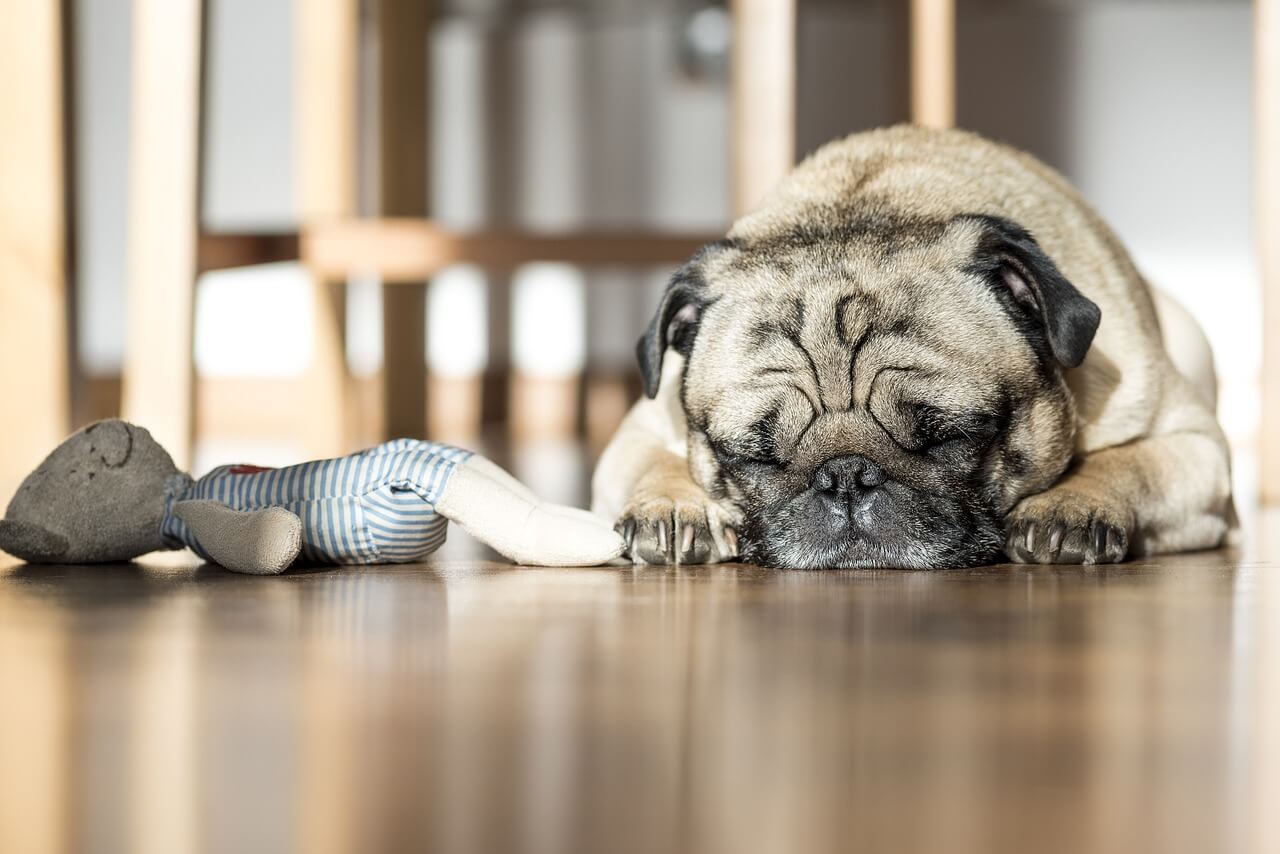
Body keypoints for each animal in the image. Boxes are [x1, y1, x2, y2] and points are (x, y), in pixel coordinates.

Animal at [593, 125, 1233, 568]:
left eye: (949, 437)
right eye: (753, 456)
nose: (846, 477)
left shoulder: (1196, 446)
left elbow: (1130, 462)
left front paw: (1073, 503)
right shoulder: (641, 429)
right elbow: (653, 462)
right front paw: (674, 505)